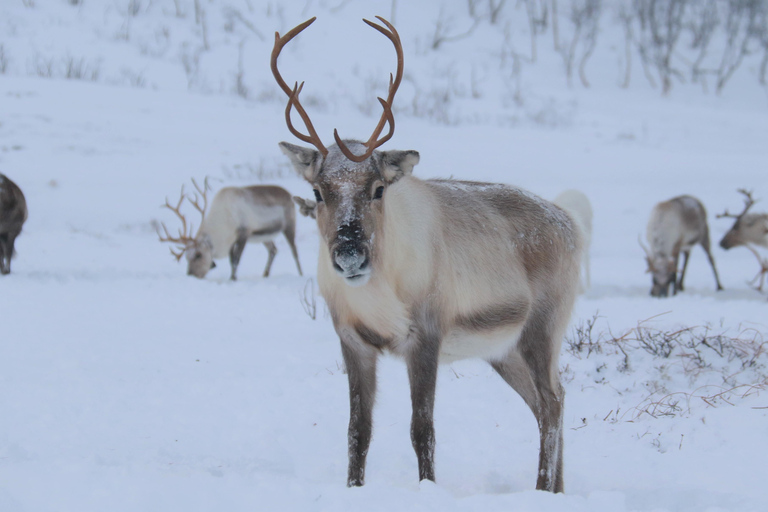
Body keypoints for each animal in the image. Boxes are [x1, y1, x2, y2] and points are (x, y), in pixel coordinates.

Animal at [158, 178, 303, 280]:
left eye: (198, 254)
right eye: (186, 257)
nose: (191, 275)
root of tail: (289, 194)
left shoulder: (244, 233)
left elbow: (236, 260)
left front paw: (233, 279)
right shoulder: (232, 240)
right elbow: (230, 260)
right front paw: (232, 277)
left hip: (289, 225)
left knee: (294, 251)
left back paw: (301, 274)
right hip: (264, 236)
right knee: (273, 250)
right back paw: (265, 275)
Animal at [272, 17, 582, 492]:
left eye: (378, 188)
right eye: (318, 191)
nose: (349, 255)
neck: (379, 296)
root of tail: (570, 224)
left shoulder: (426, 335)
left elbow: (423, 429)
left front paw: (428, 488)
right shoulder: (352, 338)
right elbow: (357, 430)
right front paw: (354, 488)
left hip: (542, 329)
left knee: (550, 404)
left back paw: (541, 487)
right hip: (503, 350)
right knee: (554, 398)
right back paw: (557, 491)